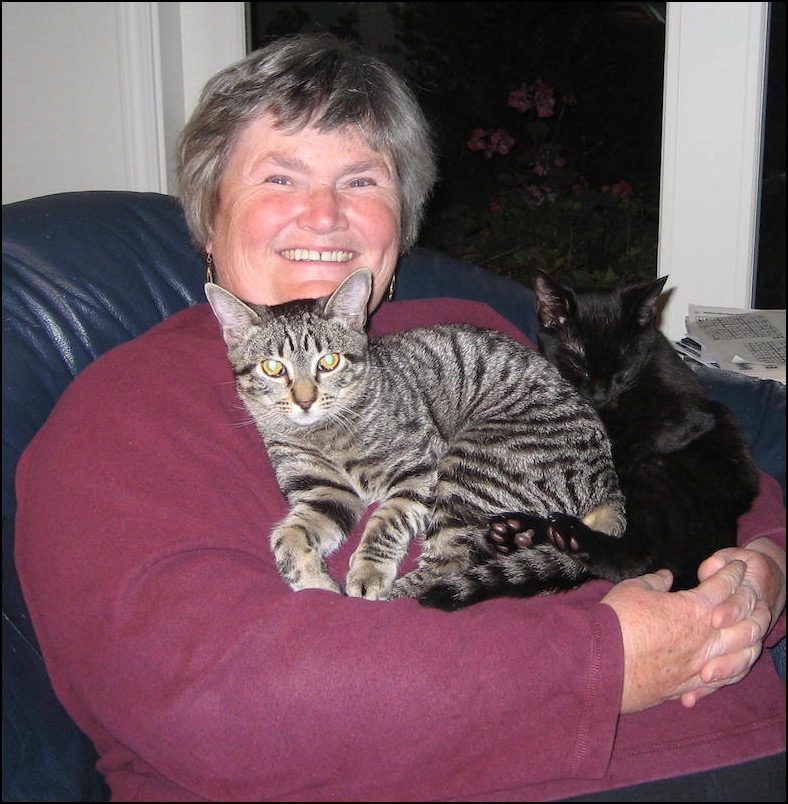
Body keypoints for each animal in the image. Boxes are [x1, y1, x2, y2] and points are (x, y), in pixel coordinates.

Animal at [206, 266, 624, 608]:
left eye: (329, 361)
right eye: (273, 368)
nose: (305, 401)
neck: (325, 433)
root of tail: (609, 480)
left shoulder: (419, 470)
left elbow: (385, 523)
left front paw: (368, 574)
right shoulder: (324, 493)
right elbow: (287, 536)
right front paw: (314, 582)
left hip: (471, 468)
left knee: (450, 563)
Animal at [490, 272, 760, 592]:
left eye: (621, 365)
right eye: (577, 362)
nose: (598, 394)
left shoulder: (689, 417)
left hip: (656, 469)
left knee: (637, 558)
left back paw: (570, 535)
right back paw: (524, 530)